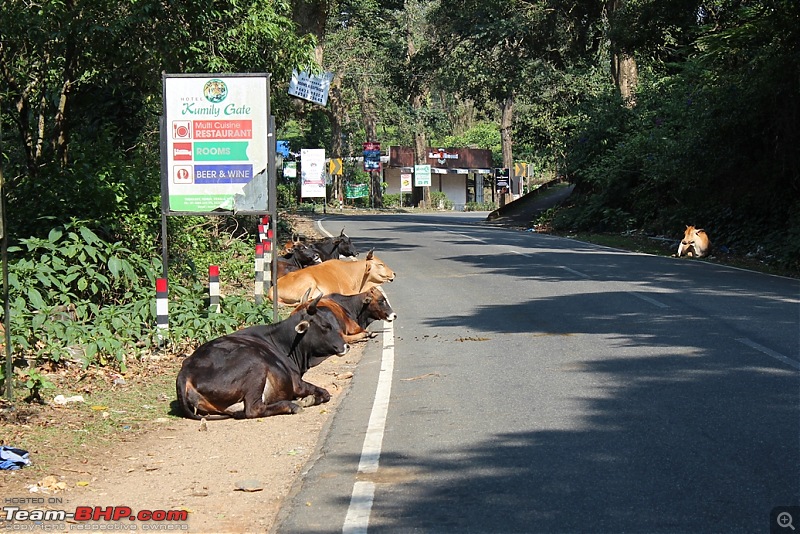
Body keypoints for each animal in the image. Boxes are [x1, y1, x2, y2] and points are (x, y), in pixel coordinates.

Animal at [173, 296, 348, 420]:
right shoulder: (297, 383)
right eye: (325, 325)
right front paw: (308, 399)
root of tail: (185, 371)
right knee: (254, 409)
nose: (346, 346)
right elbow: (325, 393)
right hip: (255, 366)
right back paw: (293, 405)